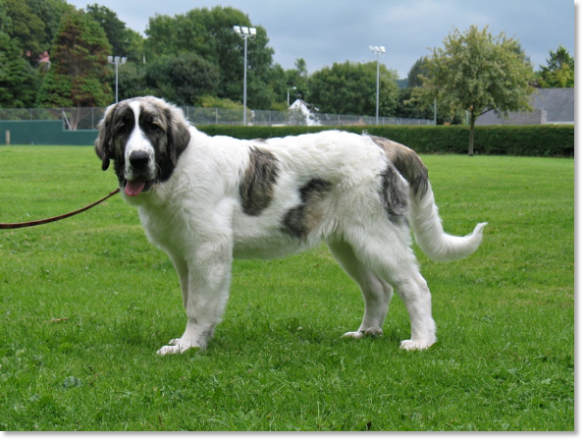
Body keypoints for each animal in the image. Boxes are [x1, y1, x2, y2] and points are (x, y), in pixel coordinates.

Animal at [94, 96, 484, 356]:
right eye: (122, 129)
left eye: (153, 128)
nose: (138, 159)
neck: (176, 168)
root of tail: (377, 142)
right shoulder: (184, 256)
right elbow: (193, 300)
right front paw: (194, 341)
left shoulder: (208, 251)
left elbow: (199, 305)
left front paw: (187, 346)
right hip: (350, 244)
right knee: (379, 289)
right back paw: (366, 332)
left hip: (378, 237)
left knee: (415, 286)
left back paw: (421, 341)